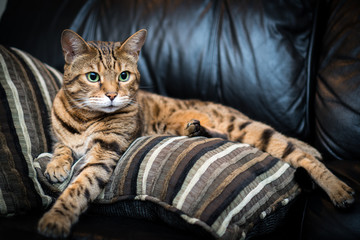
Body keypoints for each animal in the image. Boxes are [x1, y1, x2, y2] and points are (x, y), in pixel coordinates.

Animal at [37, 29, 354, 237]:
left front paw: (57, 219)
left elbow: (80, 186)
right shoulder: (64, 137)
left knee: (300, 155)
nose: (113, 95)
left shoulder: (106, 151)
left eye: (124, 76)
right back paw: (196, 128)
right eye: (93, 77)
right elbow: (61, 146)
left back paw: (338, 188)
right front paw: (56, 165)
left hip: (247, 130)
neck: (85, 119)